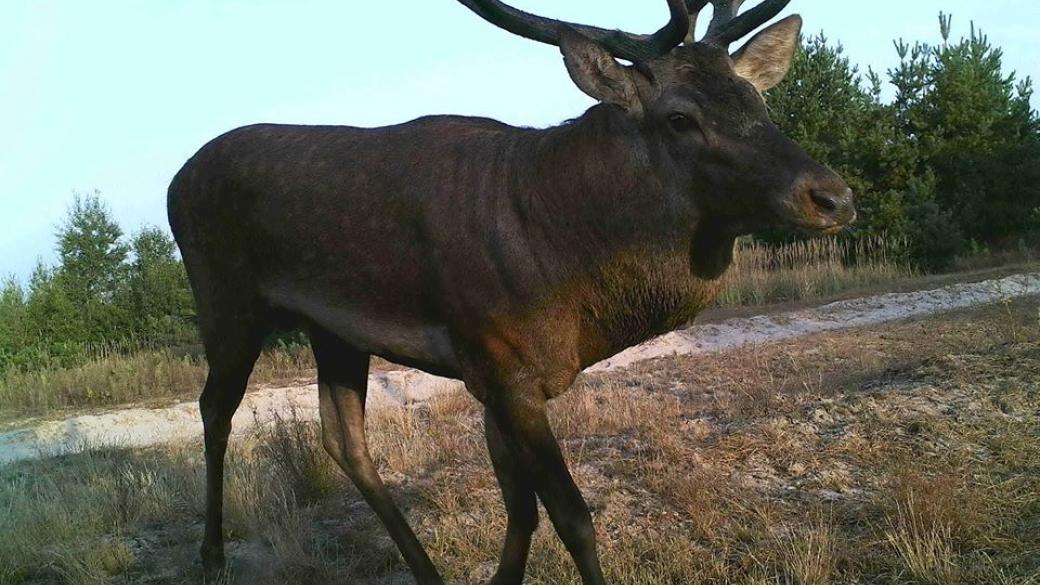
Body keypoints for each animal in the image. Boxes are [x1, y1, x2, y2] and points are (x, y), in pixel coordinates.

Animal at [168, 1, 852, 582]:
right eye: (680, 117)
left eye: (758, 101)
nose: (833, 197)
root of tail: (177, 179)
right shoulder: (504, 366)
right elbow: (572, 517)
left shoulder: (494, 374)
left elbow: (520, 508)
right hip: (225, 299)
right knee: (215, 410)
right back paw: (211, 558)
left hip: (333, 329)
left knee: (344, 441)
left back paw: (425, 572)